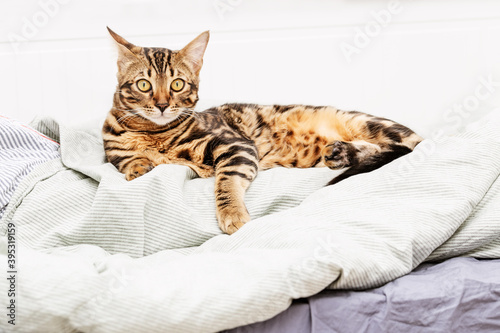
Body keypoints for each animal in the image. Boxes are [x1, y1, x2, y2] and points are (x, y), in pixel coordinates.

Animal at [101, 29, 422, 233]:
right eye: (144, 84)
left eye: (177, 84)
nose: (162, 105)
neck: (154, 134)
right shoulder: (113, 151)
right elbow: (127, 161)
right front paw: (140, 166)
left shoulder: (235, 145)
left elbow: (226, 182)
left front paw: (232, 214)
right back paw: (340, 152)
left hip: (365, 123)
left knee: (404, 147)